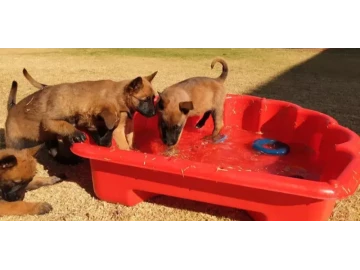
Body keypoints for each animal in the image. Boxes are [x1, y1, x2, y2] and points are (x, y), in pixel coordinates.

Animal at [5, 68, 158, 163]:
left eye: (153, 98)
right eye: (145, 100)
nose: (154, 113)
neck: (119, 95)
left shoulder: (126, 126)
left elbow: (130, 139)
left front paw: (134, 149)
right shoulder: (117, 129)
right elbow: (124, 145)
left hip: (50, 138)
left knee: (53, 151)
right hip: (16, 143)